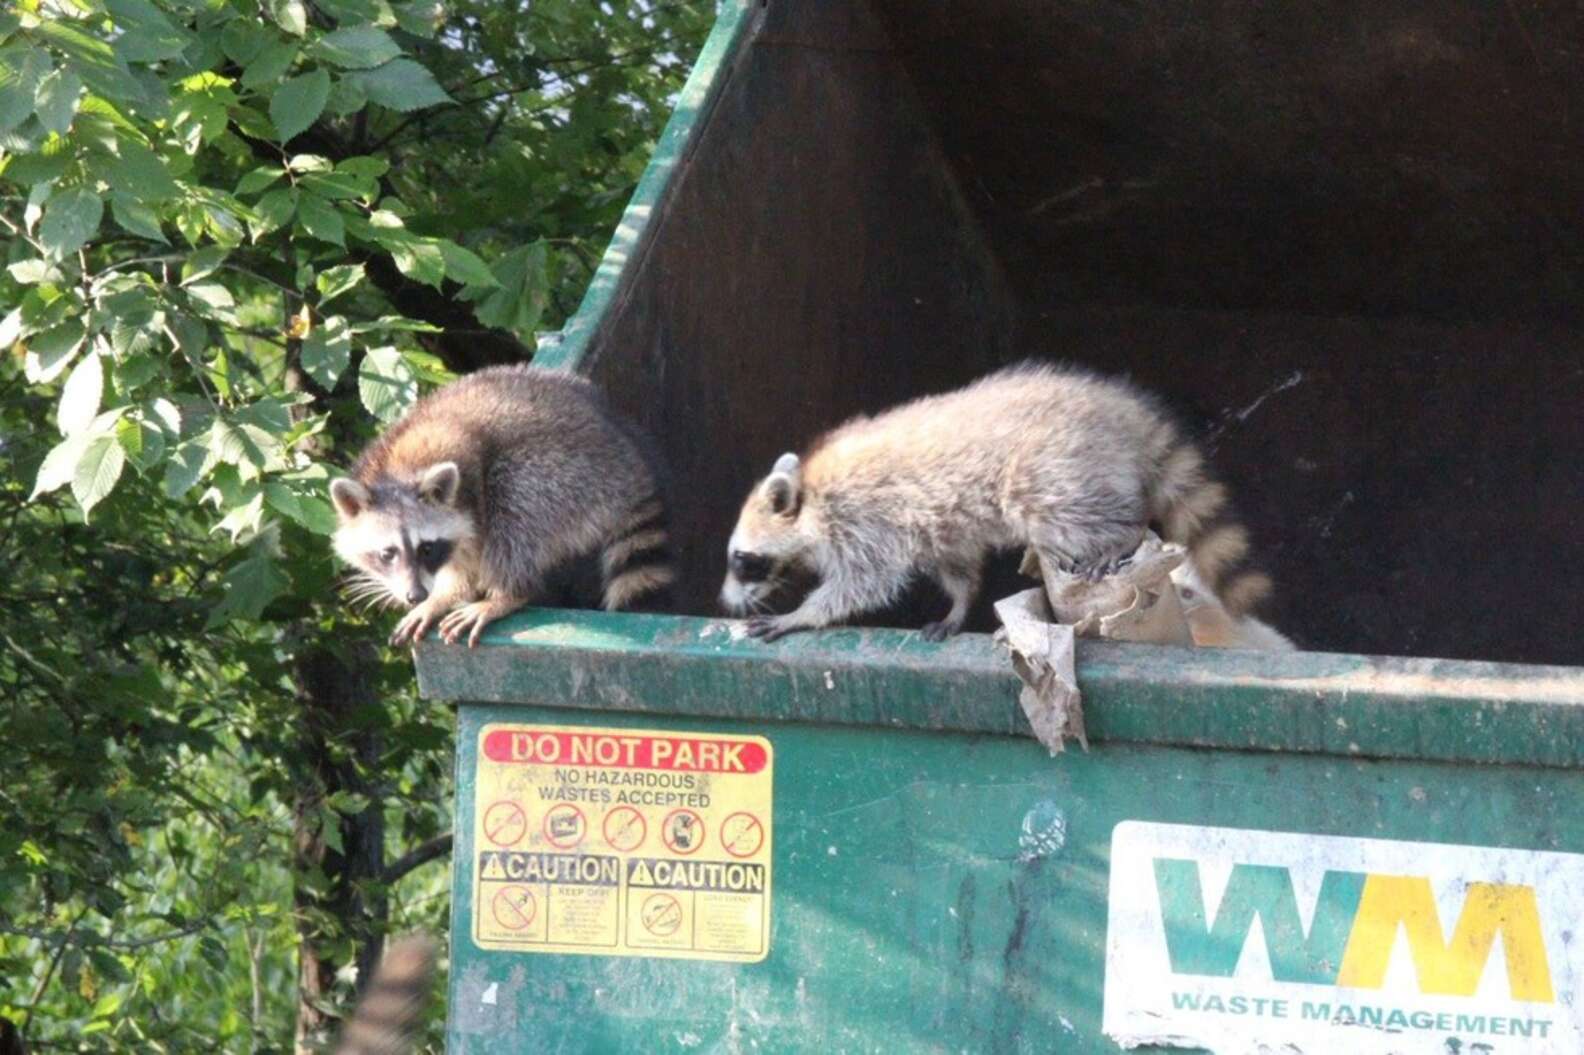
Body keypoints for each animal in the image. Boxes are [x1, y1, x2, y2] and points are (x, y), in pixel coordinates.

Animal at [334, 361, 674, 646]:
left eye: (427, 549)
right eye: (387, 553)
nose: (415, 595)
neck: (395, 472)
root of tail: (631, 464)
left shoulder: (469, 490)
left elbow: (473, 550)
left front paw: (449, 593)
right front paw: (440, 595)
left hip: (572, 474)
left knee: (515, 501)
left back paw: (508, 593)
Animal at [725, 361, 1267, 639]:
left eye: (742, 560)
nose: (725, 602)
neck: (811, 493)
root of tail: (1120, 413)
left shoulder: (863, 522)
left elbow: (863, 583)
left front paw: (803, 615)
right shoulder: (931, 526)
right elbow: (956, 565)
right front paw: (960, 604)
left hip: (1055, 467)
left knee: (1065, 510)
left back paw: (1120, 535)